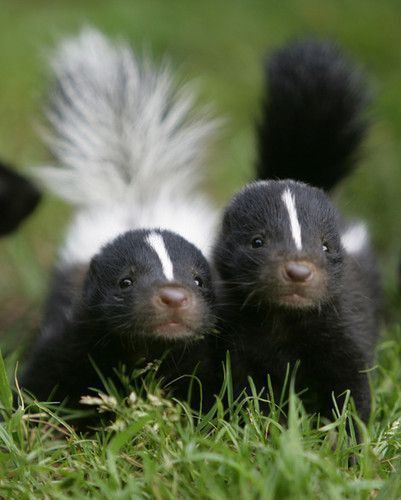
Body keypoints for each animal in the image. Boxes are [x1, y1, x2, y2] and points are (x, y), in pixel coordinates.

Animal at [19, 28, 219, 410]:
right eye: (125, 281)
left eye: (198, 280)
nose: (174, 297)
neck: (146, 348)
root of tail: (136, 193)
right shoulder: (78, 330)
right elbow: (46, 376)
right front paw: (36, 413)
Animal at [212, 39, 378, 424]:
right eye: (257, 241)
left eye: (326, 246)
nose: (299, 271)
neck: (284, 321)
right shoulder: (237, 334)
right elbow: (242, 385)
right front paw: (255, 423)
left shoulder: (343, 322)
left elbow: (352, 383)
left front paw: (349, 435)